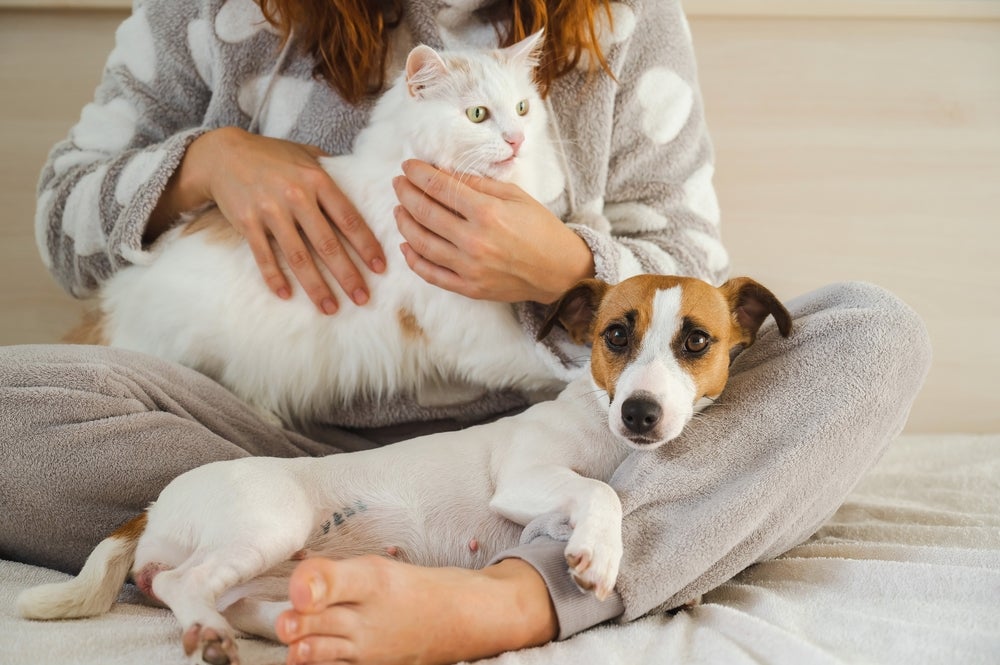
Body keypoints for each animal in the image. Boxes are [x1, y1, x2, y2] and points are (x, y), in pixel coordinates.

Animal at [17, 274, 788, 664]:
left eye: (697, 341)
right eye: (616, 336)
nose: (640, 412)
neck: (605, 430)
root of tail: (151, 508)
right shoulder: (525, 479)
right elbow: (600, 490)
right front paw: (598, 553)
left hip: (267, 577)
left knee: (245, 603)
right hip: (264, 524)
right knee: (183, 584)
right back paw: (208, 632)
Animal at [88, 29, 572, 426]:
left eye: (523, 109)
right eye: (477, 115)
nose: (516, 140)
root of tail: (117, 300)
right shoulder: (471, 329)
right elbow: (543, 367)